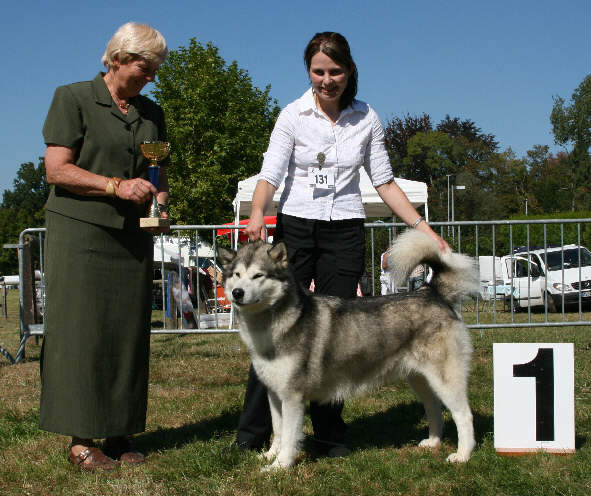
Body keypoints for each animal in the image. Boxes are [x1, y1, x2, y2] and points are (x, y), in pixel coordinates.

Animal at [219, 230, 480, 468]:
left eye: (258, 275)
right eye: (237, 275)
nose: (237, 293)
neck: (271, 326)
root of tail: (432, 293)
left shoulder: (293, 396)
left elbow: (290, 436)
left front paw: (280, 466)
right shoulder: (274, 394)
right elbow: (279, 431)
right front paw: (270, 455)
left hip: (445, 379)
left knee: (463, 415)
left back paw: (463, 455)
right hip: (419, 379)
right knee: (433, 408)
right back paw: (433, 442)